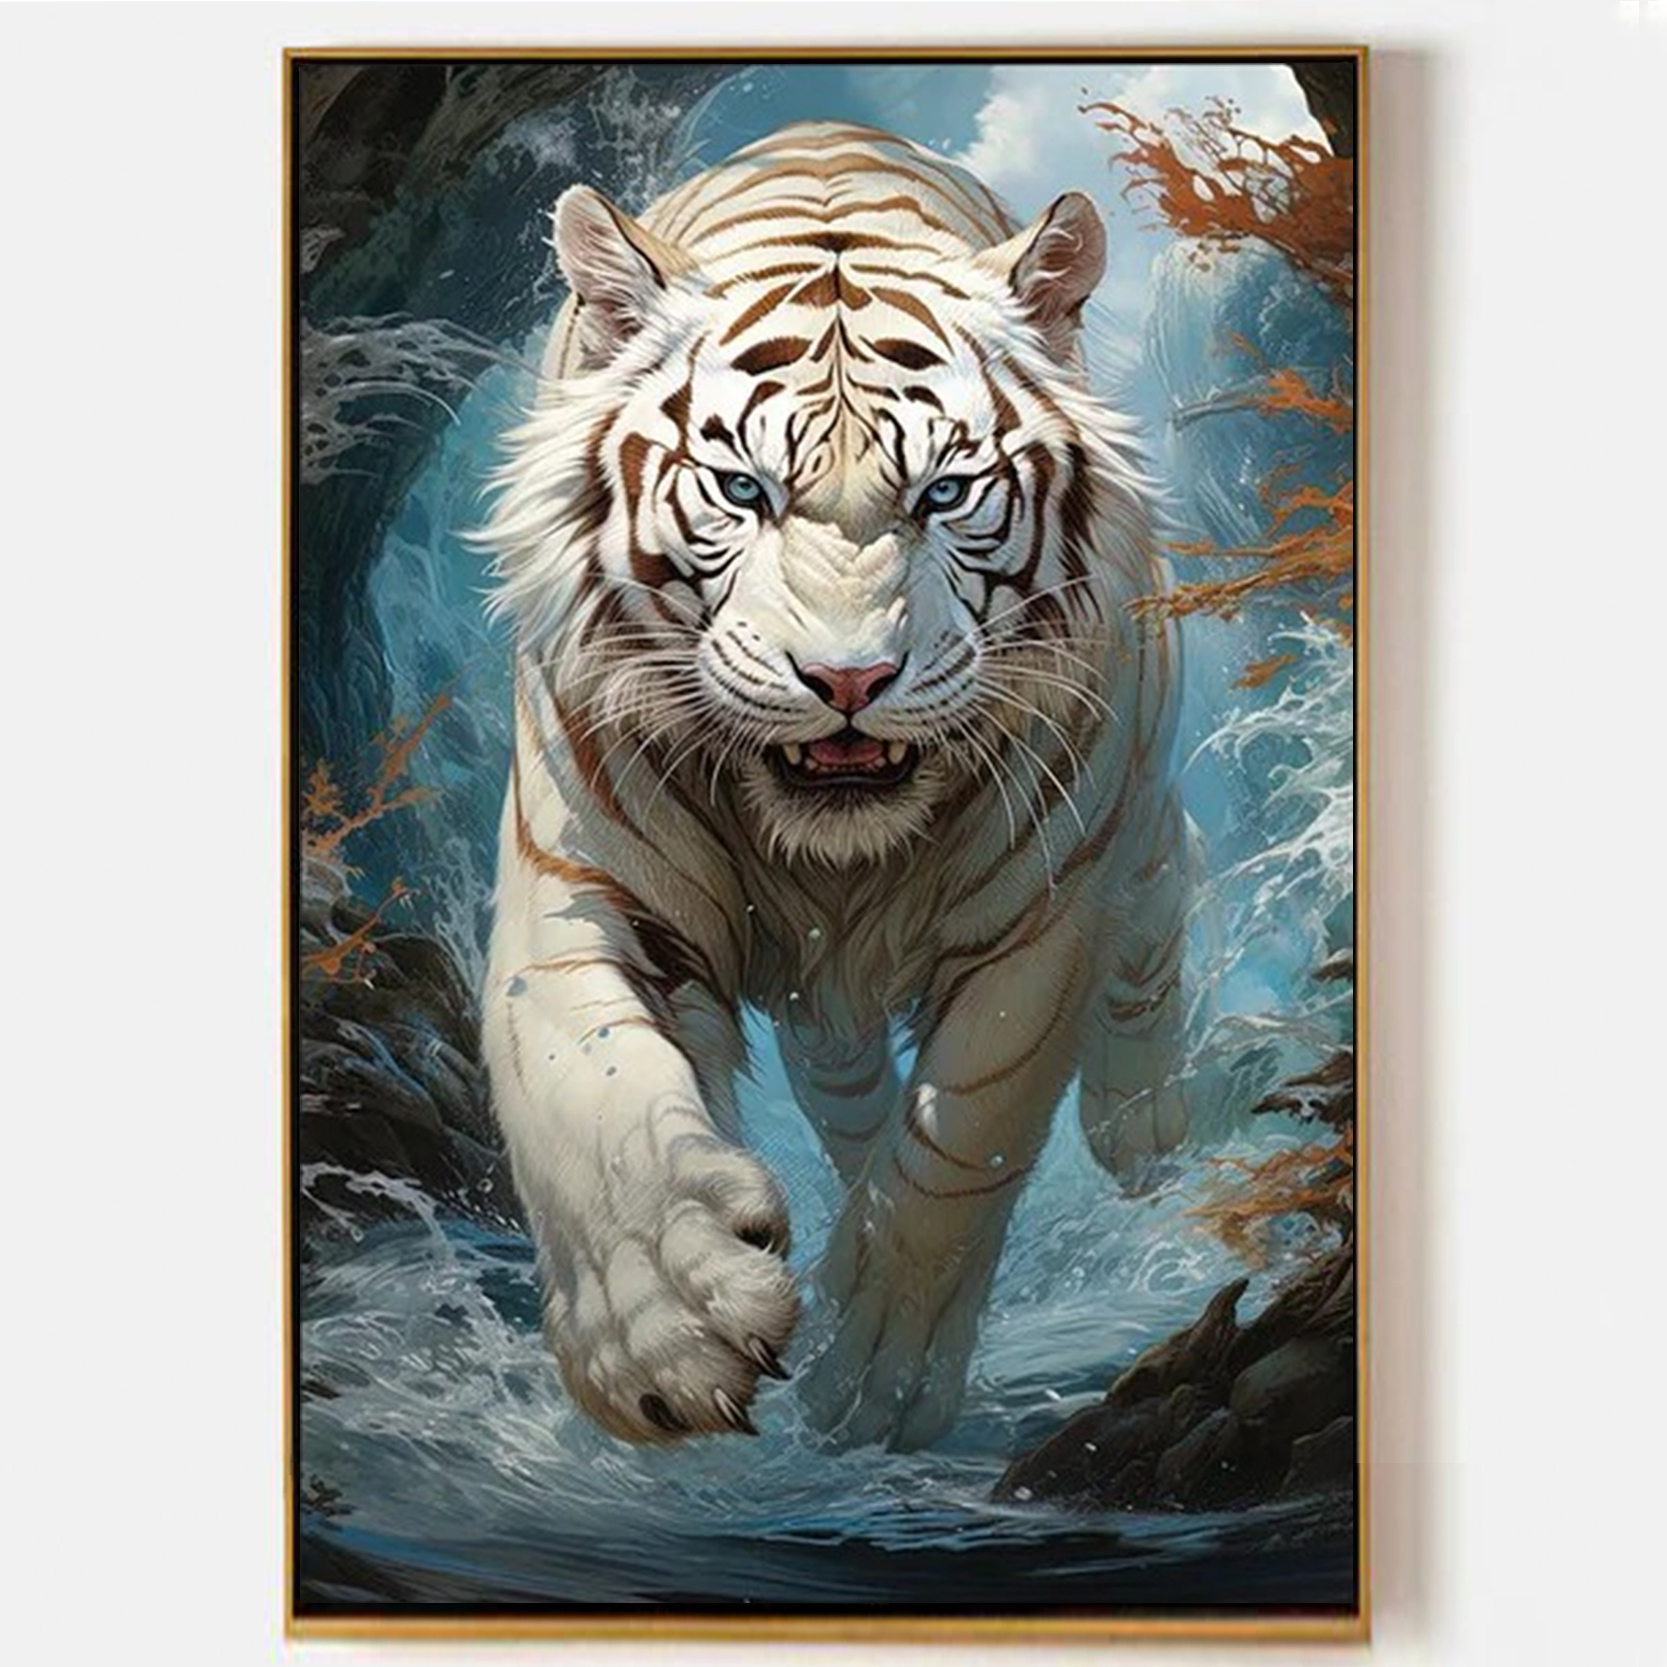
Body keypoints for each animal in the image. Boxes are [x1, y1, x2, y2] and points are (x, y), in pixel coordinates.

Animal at [481, 121, 1189, 1453]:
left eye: (944, 494)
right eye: (741, 491)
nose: (849, 678)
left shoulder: (1041, 912)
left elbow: (964, 1140)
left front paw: (879, 1378)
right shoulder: (577, 884)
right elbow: (583, 1090)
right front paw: (663, 1331)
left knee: (1162, 907)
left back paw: (1145, 1129)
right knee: (844, 1086)